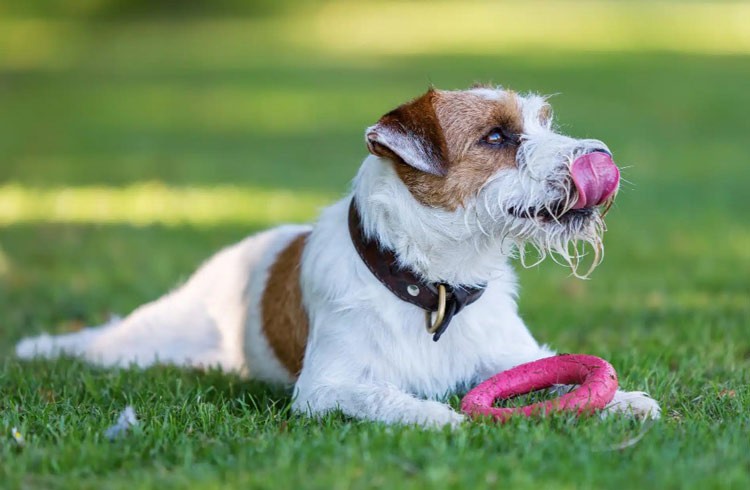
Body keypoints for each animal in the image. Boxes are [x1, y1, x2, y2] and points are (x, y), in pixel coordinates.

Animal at [17, 86, 660, 426]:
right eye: (497, 137)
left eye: (542, 123)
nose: (601, 156)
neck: (433, 287)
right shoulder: (327, 387)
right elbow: (389, 397)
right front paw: (444, 418)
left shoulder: (514, 358)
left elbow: (563, 379)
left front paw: (626, 400)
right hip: (146, 342)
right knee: (101, 342)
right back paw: (38, 348)